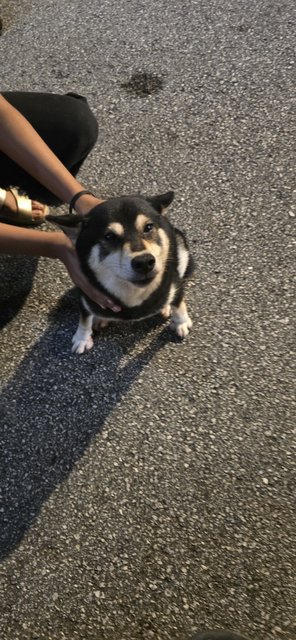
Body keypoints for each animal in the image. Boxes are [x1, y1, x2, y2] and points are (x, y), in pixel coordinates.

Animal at [47, 192, 193, 358]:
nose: (144, 262)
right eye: (109, 236)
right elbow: (84, 317)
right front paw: (82, 337)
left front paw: (181, 321)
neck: (133, 294)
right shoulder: (86, 290)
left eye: (148, 227)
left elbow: (179, 302)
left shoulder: (174, 280)